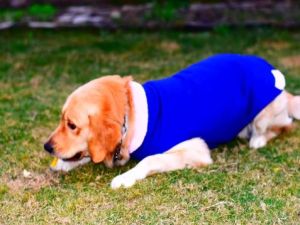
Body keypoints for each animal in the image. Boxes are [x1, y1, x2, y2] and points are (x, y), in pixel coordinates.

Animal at [43, 54, 298, 188]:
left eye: (72, 125)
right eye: (62, 120)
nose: (47, 147)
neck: (131, 116)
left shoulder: (196, 148)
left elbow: (150, 159)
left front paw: (125, 177)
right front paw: (66, 164)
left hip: (264, 114)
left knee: (283, 125)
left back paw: (257, 139)